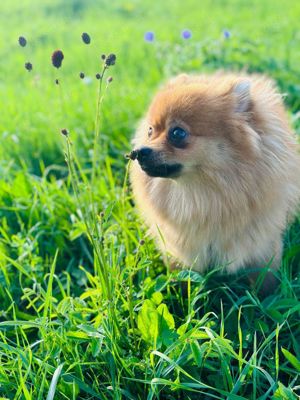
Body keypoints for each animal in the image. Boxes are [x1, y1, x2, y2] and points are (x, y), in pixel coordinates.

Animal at [129, 72, 300, 290]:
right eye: (150, 131)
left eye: (177, 133)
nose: (138, 152)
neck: (203, 197)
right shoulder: (180, 248)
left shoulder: (262, 246)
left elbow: (265, 283)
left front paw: (266, 299)